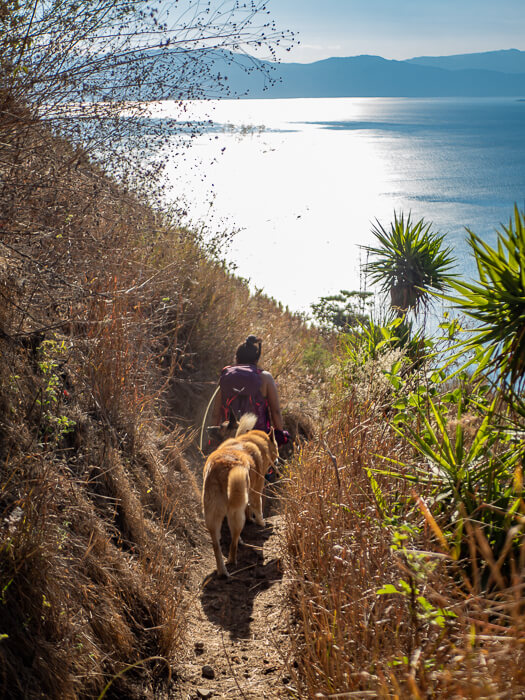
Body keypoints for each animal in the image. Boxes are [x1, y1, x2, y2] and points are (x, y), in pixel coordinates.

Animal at [202, 416, 278, 576]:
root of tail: (221, 468)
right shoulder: (256, 490)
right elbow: (258, 508)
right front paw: (261, 523)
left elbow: (249, 508)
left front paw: (252, 519)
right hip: (235, 513)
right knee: (233, 543)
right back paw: (232, 559)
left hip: (212, 516)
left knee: (216, 546)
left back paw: (222, 571)